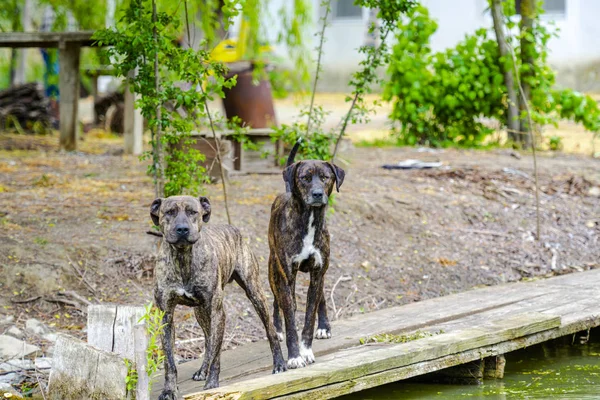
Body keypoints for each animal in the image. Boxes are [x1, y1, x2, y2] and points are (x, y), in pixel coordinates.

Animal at [148, 195, 284, 398]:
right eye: (169, 212)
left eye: (193, 212)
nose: (182, 229)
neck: (183, 257)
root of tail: (233, 228)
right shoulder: (166, 316)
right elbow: (169, 362)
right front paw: (169, 389)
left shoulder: (217, 311)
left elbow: (217, 354)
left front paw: (212, 384)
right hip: (201, 311)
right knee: (208, 341)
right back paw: (202, 370)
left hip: (254, 292)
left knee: (270, 331)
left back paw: (280, 363)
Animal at [268, 141, 346, 368]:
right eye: (305, 177)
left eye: (325, 177)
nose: (318, 193)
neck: (310, 219)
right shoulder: (285, 276)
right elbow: (290, 320)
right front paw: (294, 356)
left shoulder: (318, 273)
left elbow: (309, 316)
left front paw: (306, 350)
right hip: (273, 270)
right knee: (278, 301)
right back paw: (277, 328)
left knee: (320, 298)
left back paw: (324, 326)